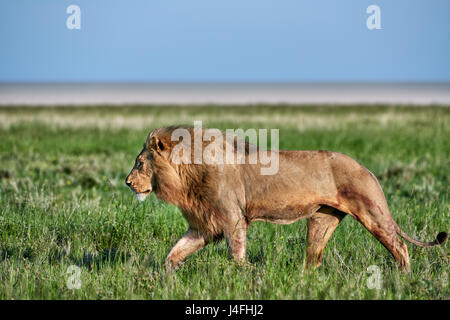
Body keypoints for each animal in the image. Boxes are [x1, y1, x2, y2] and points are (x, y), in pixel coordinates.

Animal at [125, 126, 446, 272]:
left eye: (140, 164)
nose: (127, 183)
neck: (188, 171)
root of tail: (366, 169)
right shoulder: (204, 224)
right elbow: (175, 251)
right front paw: (166, 275)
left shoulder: (232, 217)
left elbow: (236, 250)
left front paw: (241, 275)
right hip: (322, 220)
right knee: (314, 257)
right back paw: (308, 278)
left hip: (372, 211)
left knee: (399, 244)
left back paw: (403, 275)